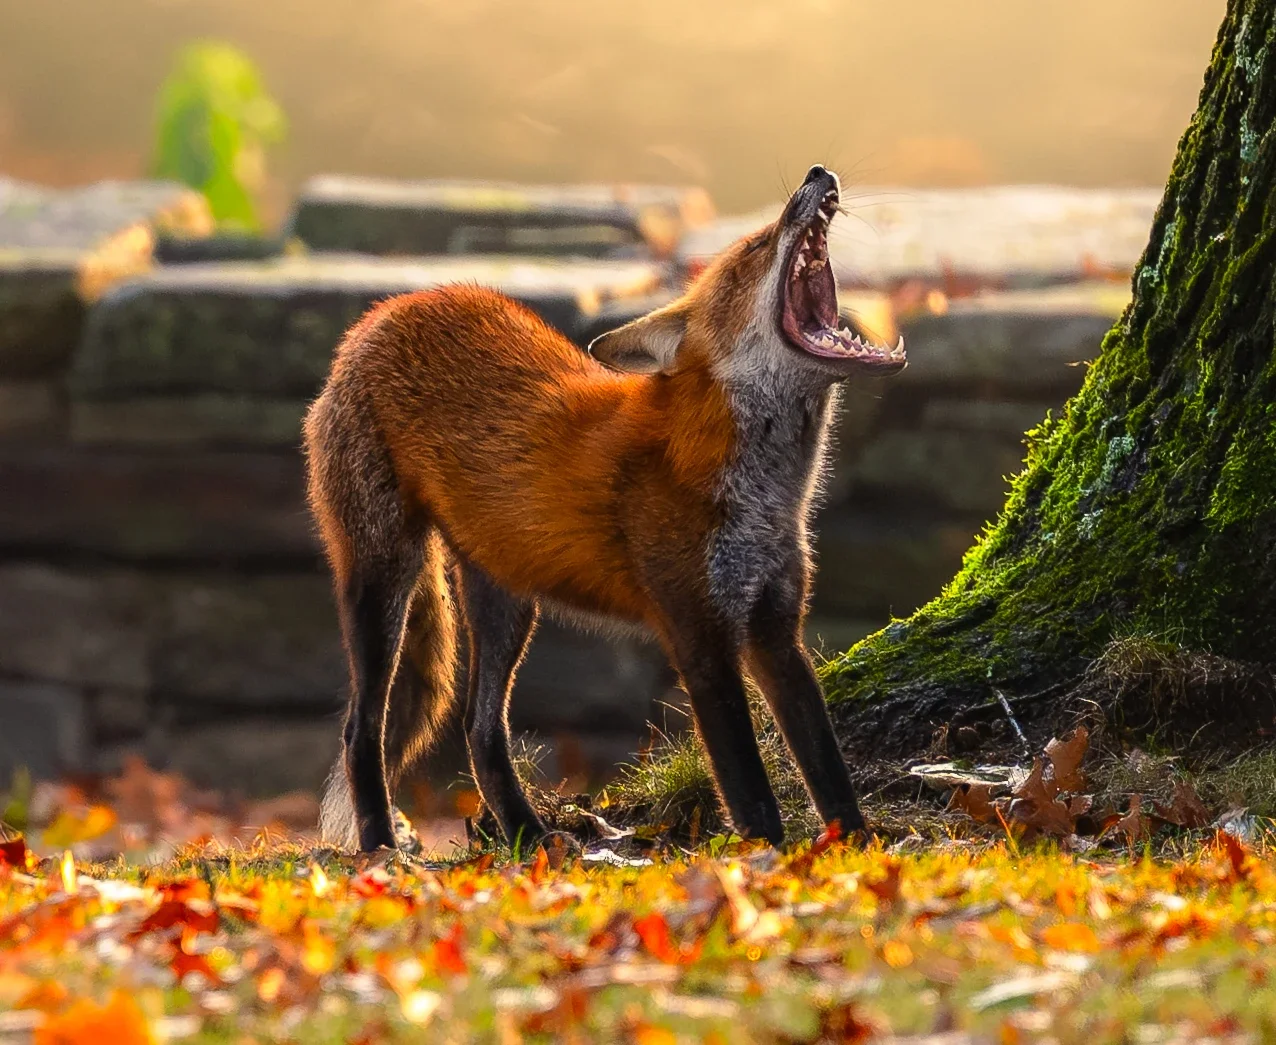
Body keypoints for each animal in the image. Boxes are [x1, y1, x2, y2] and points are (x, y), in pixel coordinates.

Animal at [304, 165, 906, 852]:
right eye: (757, 246)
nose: (817, 173)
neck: (764, 495)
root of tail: (384, 313)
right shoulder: (698, 634)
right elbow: (749, 788)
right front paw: (766, 862)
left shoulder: (776, 630)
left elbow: (827, 766)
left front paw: (857, 853)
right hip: (384, 579)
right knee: (362, 729)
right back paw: (381, 845)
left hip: (507, 601)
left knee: (480, 731)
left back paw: (528, 838)